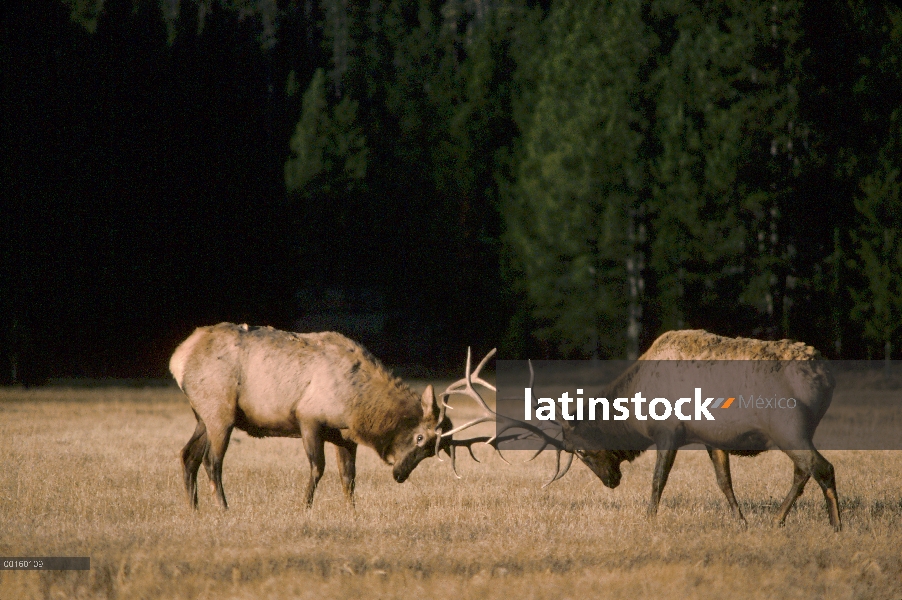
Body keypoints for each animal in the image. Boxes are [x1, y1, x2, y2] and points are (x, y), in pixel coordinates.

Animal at [171, 322, 494, 508]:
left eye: (430, 452)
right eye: (419, 438)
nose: (399, 474)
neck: (357, 408)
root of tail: (178, 358)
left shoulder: (344, 436)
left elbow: (348, 477)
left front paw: (352, 513)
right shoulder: (308, 418)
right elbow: (317, 468)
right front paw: (304, 508)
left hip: (202, 414)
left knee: (188, 455)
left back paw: (194, 510)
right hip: (219, 411)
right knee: (212, 462)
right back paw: (224, 509)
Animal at [448, 330, 844, 532]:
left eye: (581, 450)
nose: (611, 482)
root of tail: (825, 374)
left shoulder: (668, 431)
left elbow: (658, 480)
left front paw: (648, 519)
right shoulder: (710, 437)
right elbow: (724, 483)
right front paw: (740, 521)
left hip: (788, 426)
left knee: (821, 467)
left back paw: (828, 525)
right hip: (794, 432)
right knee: (804, 470)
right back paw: (787, 520)